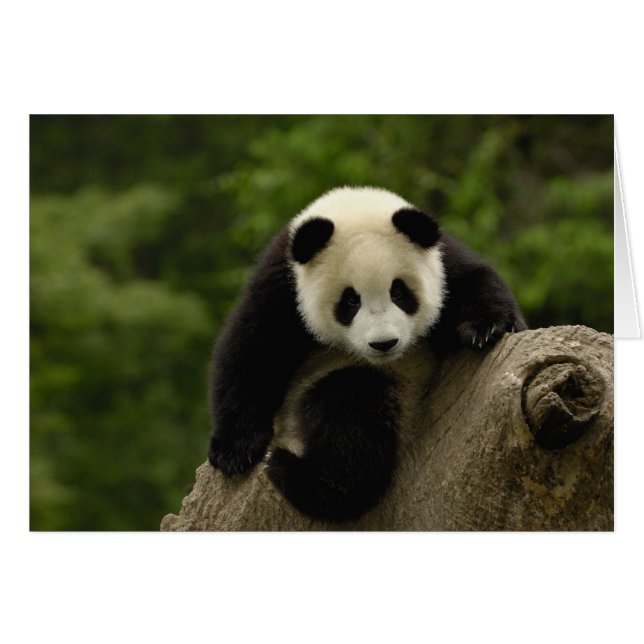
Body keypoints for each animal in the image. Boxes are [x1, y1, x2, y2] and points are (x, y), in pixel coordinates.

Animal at [207, 186, 526, 522]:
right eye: (350, 300)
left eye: (399, 292)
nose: (384, 343)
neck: (354, 206)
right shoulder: (282, 281)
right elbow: (252, 348)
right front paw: (234, 451)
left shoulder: (442, 263)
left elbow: (476, 282)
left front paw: (488, 327)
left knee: (352, 406)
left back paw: (298, 475)